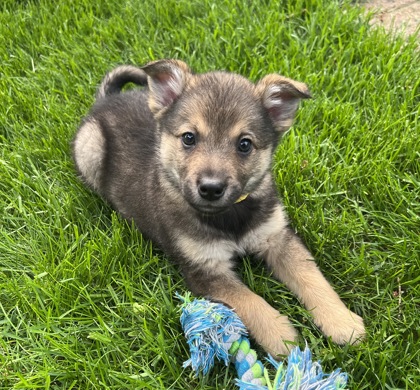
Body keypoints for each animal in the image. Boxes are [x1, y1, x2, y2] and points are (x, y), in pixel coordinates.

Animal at [74, 61, 366, 356]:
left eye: (245, 144)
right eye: (189, 138)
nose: (211, 188)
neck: (229, 215)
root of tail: (107, 99)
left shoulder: (277, 237)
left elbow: (312, 277)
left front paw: (342, 322)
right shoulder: (205, 268)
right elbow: (249, 300)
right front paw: (282, 338)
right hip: (89, 149)